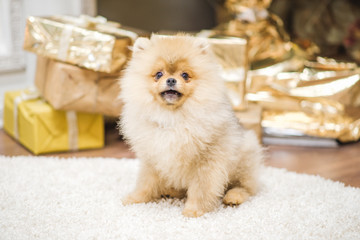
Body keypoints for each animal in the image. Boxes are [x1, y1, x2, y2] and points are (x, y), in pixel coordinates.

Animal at [119, 34, 262, 218]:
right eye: (158, 74)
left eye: (185, 75)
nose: (171, 80)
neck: (173, 119)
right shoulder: (153, 157)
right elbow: (145, 182)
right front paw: (136, 198)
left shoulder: (207, 161)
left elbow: (201, 188)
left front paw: (194, 210)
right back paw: (171, 190)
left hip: (245, 156)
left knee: (246, 187)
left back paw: (234, 196)